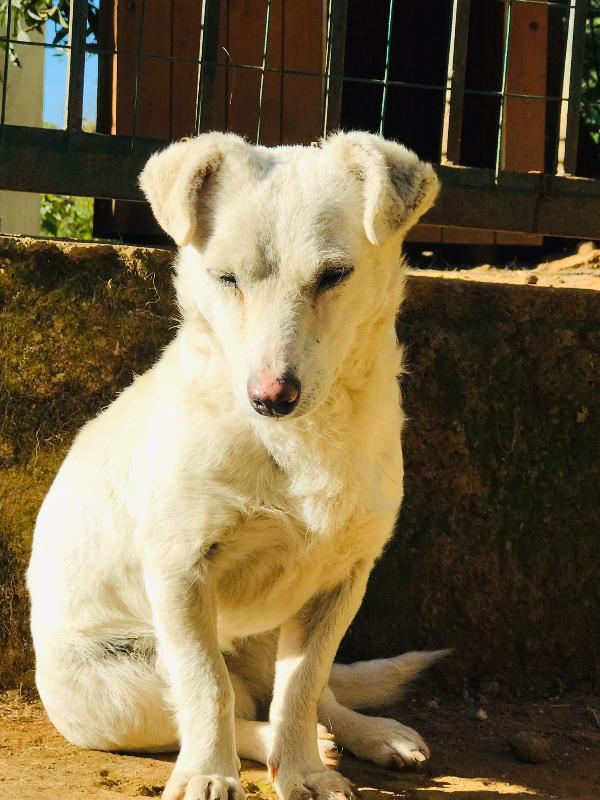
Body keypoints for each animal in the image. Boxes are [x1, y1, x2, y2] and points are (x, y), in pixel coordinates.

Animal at [28, 131, 442, 800]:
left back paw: (365, 735)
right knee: (231, 703)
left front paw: (305, 772)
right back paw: (265, 743)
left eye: (334, 275)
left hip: (274, 632)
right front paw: (207, 773)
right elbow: (207, 688)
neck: (297, 440)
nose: (271, 396)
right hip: (116, 687)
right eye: (226, 278)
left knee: (308, 695)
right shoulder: (181, 573)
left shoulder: (340, 582)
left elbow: (302, 688)